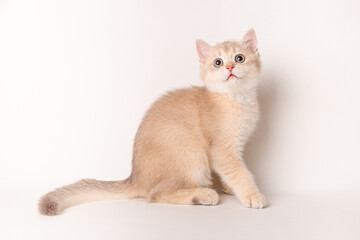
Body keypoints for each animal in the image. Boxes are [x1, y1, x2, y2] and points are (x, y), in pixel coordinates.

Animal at [38, 28, 268, 216]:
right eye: (217, 62)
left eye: (239, 58)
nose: (229, 67)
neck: (237, 98)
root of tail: (135, 178)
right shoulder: (222, 149)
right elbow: (240, 173)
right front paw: (252, 195)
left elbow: (229, 172)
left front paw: (227, 186)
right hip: (189, 151)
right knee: (155, 195)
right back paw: (202, 195)